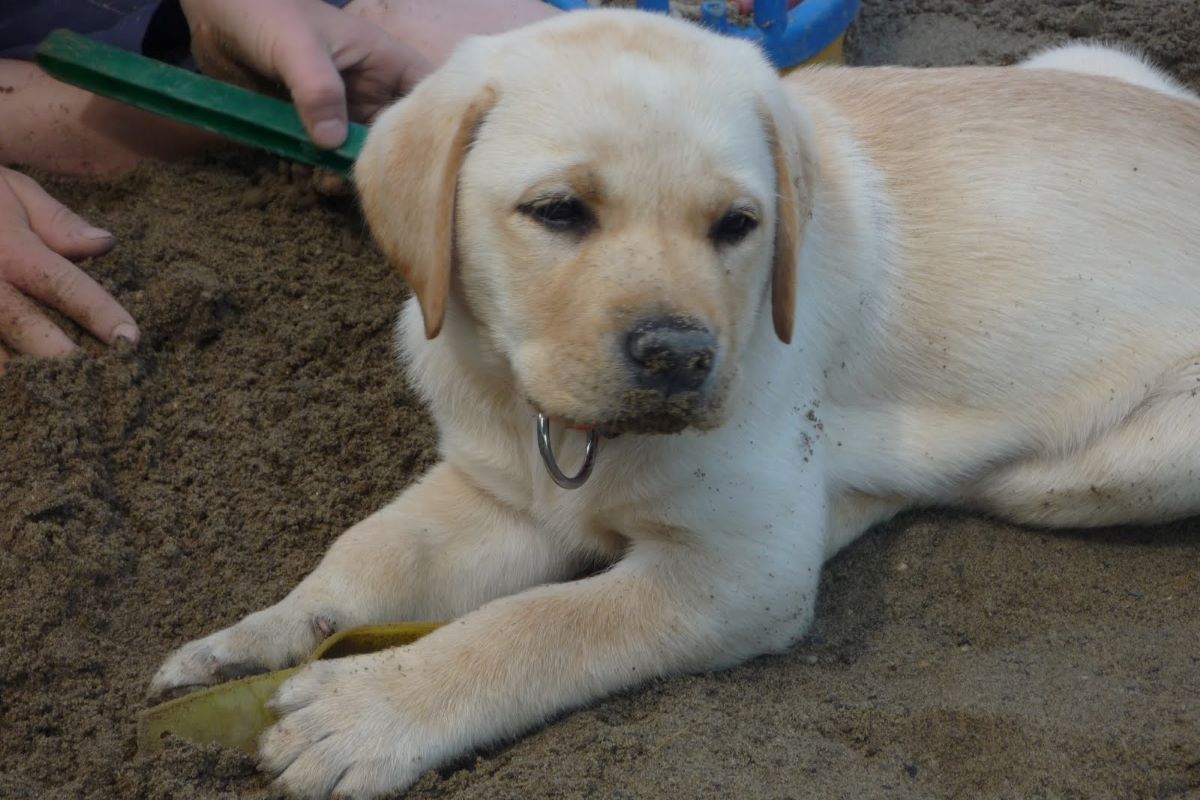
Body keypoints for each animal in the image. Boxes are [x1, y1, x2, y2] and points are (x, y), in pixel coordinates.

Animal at [150, 7, 1200, 800]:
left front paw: (369, 709)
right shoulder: (499, 487)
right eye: (558, 211)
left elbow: (537, 624)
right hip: (1087, 60)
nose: (682, 357)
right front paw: (256, 640)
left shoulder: (738, 569)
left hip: (1120, 461)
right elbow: (376, 551)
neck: (565, 431)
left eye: (737, 225)